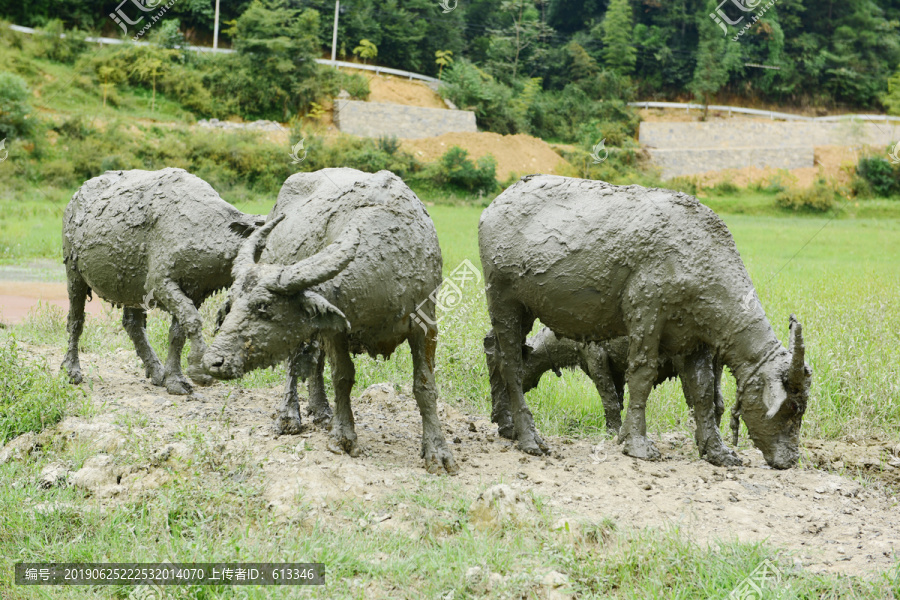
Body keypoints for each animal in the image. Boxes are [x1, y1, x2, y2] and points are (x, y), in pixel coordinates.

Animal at [60, 168, 260, 394]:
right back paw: (72, 370)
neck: (203, 230)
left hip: (131, 284)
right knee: (76, 320)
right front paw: (199, 369)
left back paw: (157, 371)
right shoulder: (160, 283)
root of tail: (77, 195)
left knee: (133, 325)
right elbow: (192, 320)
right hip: (74, 274)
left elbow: (178, 332)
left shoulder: (194, 291)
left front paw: (174, 379)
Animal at [203, 168, 458, 474]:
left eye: (263, 306)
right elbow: (342, 377)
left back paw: (321, 411)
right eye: (231, 305)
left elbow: (424, 386)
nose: (213, 362)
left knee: (313, 361)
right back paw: (290, 417)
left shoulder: (425, 326)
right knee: (296, 362)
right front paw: (344, 437)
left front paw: (437, 452)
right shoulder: (337, 332)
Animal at [486, 328, 740, 464]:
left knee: (697, 401)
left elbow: (608, 401)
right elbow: (617, 400)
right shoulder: (616, 372)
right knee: (717, 404)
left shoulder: (597, 363)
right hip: (715, 366)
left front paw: (612, 432)